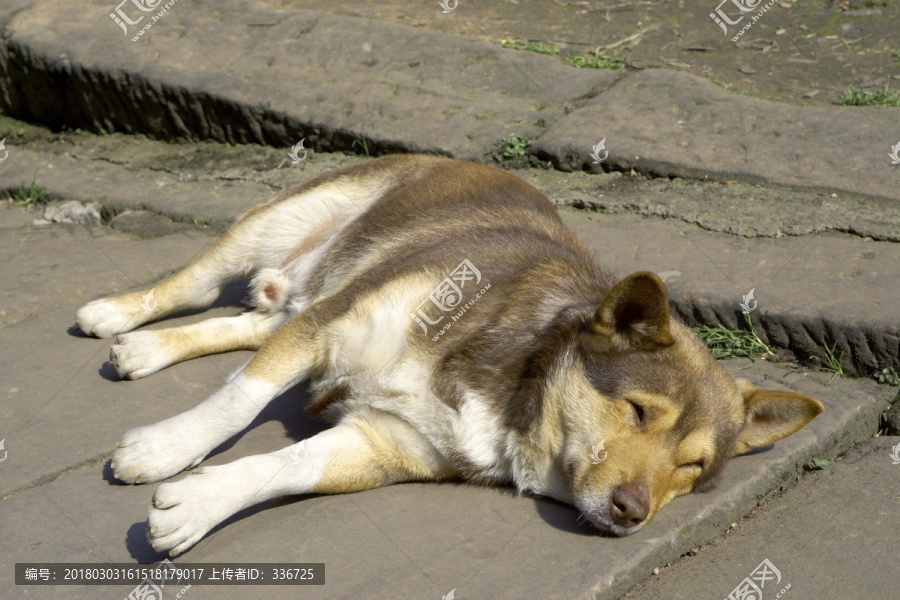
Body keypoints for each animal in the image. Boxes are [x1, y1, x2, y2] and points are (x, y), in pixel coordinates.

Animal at [77, 152, 824, 556]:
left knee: (248, 324)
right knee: (195, 284)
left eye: (693, 468)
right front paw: (167, 449)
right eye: (639, 412)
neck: (518, 380)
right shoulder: (333, 323)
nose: (632, 512)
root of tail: (466, 159)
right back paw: (116, 314)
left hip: (301, 296)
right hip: (281, 226)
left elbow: (288, 469)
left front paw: (199, 505)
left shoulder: (381, 441)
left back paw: (145, 348)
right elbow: (237, 401)